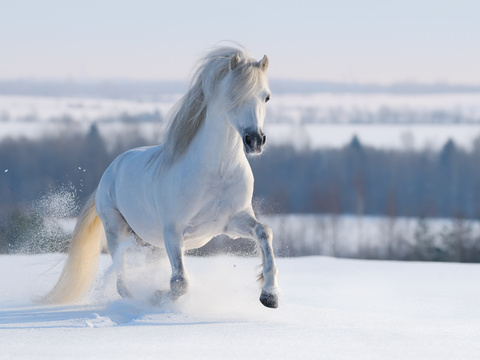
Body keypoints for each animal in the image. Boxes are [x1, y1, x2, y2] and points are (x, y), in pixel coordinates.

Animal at [44, 45, 282, 306]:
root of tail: (111, 169)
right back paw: (134, 300)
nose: (255, 141)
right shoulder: (173, 231)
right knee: (121, 278)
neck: (216, 172)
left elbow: (264, 232)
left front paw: (270, 295)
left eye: (266, 97)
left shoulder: (231, 222)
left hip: (151, 244)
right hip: (117, 231)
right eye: (233, 95)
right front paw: (157, 297)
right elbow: (179, 282)